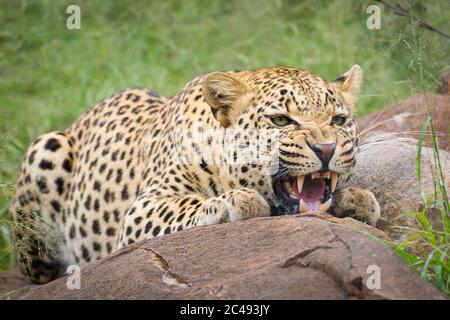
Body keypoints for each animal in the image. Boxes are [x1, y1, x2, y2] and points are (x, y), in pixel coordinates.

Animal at [10, 64, 380, 282]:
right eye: (280, 120)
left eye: (338, 120)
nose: (326, 149)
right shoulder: (142, 209)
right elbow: (188, 205)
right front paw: (239, 201)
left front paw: (357, 199)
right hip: (46, 149)